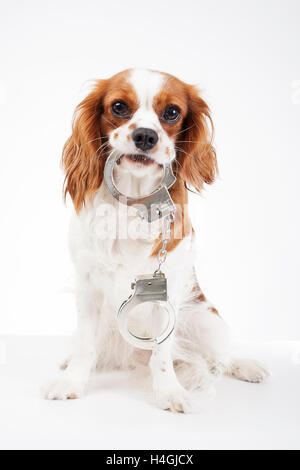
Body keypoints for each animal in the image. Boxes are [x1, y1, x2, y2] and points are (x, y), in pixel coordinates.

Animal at [45, 67, 270, 412]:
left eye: (172, 112)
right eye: (119, 107)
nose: (146, 136)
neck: (134, 202)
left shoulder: (169, 292)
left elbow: (162, 354)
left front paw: (169, 391)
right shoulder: (88, 286)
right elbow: (86, 345)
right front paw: (72, 382)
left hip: (205, 319)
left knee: (221, 353)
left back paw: (245, 365)